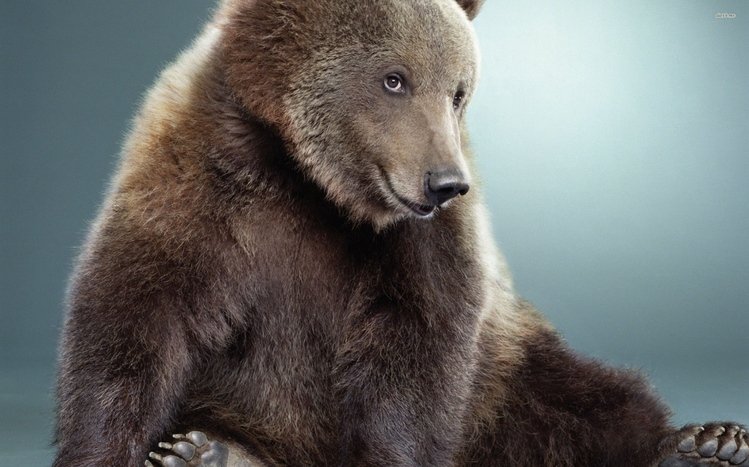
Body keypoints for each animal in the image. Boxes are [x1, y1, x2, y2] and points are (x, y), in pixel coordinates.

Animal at [53, 0, 748, 466]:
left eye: (459, 91)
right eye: (394, 78)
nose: (445, 182)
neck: (305, 179)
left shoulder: (422, 245)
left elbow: (417, 349)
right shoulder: (196, 184)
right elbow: (135, 321)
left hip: (508, 368)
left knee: (586, 398)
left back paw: (704, 443)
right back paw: (202, 450)